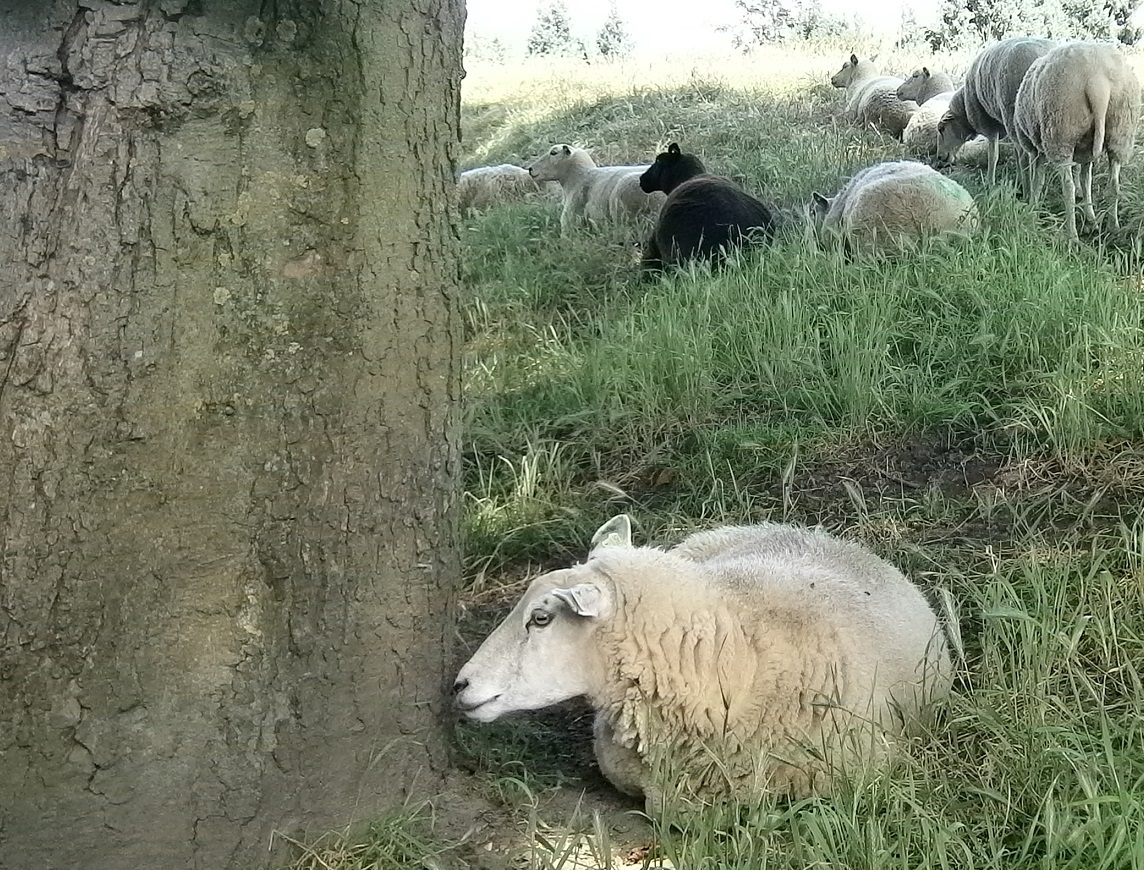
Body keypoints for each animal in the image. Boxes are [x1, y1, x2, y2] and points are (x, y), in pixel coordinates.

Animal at [938, 36, 1052, 183]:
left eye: (941, 129)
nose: (939, 157)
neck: (964, 110)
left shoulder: (989, 125)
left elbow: (993, 155)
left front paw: (990, 182)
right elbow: (1013, 152)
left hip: (1014, 114)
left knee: (1025, 154)